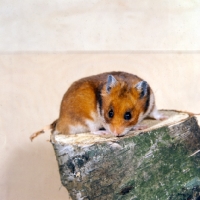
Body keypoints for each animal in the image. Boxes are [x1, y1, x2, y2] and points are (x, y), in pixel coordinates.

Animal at [30, 71, 166, 141]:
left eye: (128, 115)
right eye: (110, 113)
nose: (116, 134)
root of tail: (59, 123)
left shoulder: (152, 103)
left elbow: (155, 113)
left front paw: (164, 117)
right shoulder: (101, 119)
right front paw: (140, 126)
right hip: (86, 120)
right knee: (93, 130)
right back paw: (103, 133)